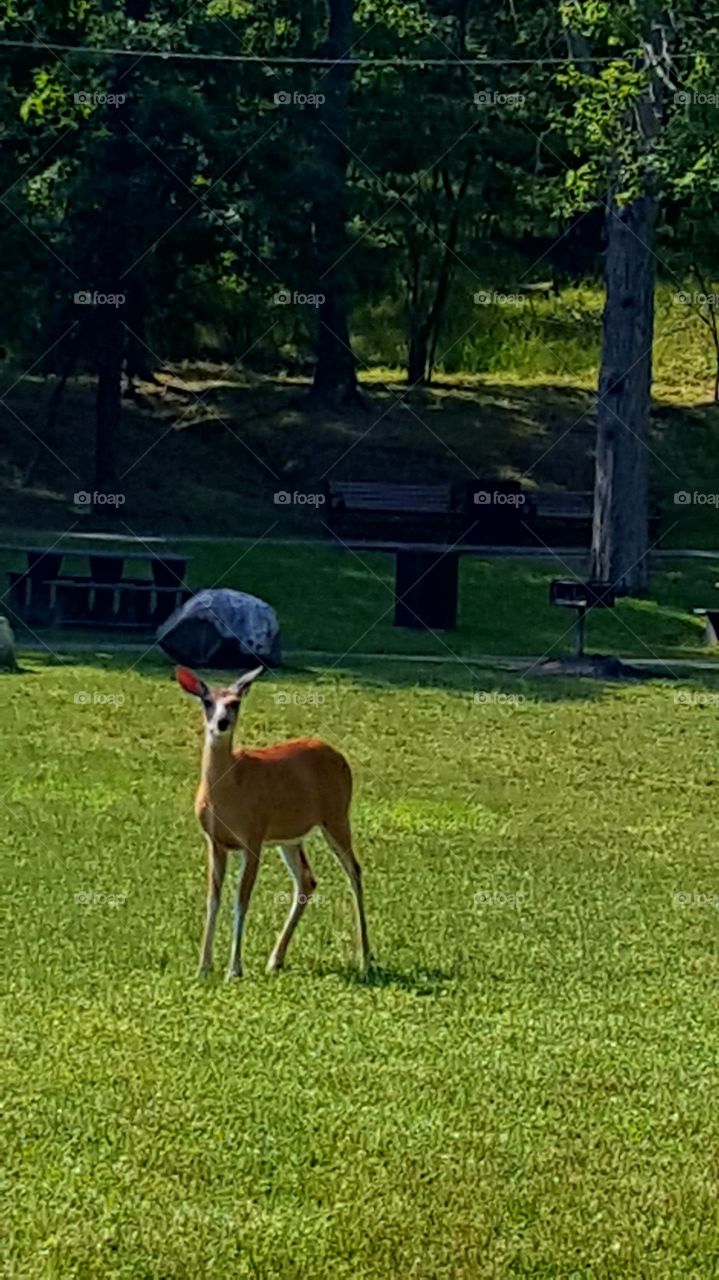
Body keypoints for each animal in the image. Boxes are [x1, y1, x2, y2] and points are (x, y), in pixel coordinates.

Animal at [175, 665, 371, 980]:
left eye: (235, 703)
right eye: (207, 701)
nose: (221, 723)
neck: (226, 794)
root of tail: (339, 756)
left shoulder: (253, 837)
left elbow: (241, 900)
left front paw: (234, 969)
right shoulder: (215, 841)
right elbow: (213, 899)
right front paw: (203, 967)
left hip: (337, 816)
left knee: (354, 871)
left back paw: (366, 959)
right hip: (290, 837)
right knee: (307, 879)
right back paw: (275, 960)